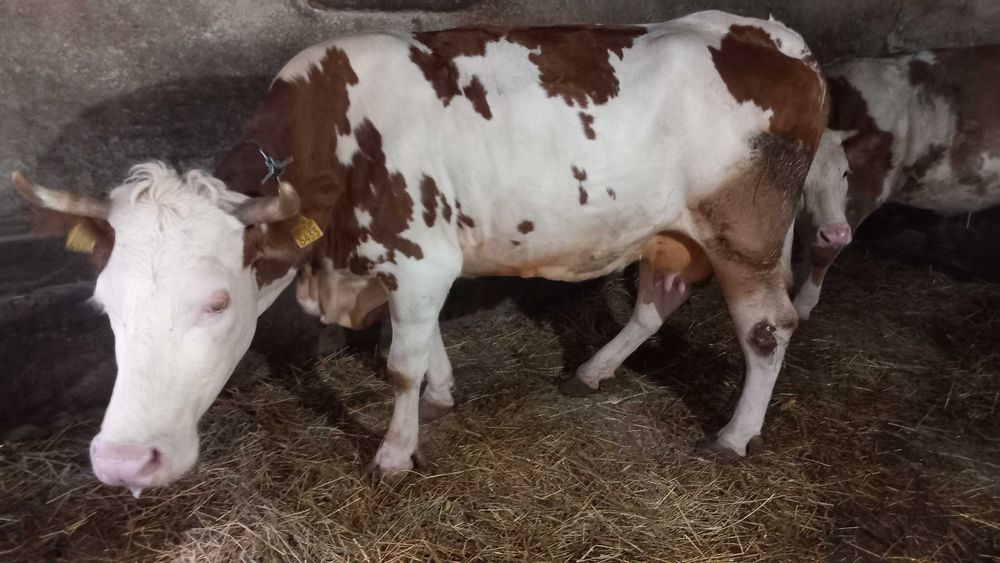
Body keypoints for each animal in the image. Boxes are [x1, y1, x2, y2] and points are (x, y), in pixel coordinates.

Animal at [11, 10, 826, 495]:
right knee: (658, 300)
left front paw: (396, 451)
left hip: (746, 234)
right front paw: (441, 389)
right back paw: (593, 370)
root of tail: (760, 32)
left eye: (215, 301)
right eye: (105, 305)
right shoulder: (412, 268)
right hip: (671, 229)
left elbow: (398, 361)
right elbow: (422, 341)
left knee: (769, 328)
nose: (123, 462)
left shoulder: (421, 257)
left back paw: (735, 434)